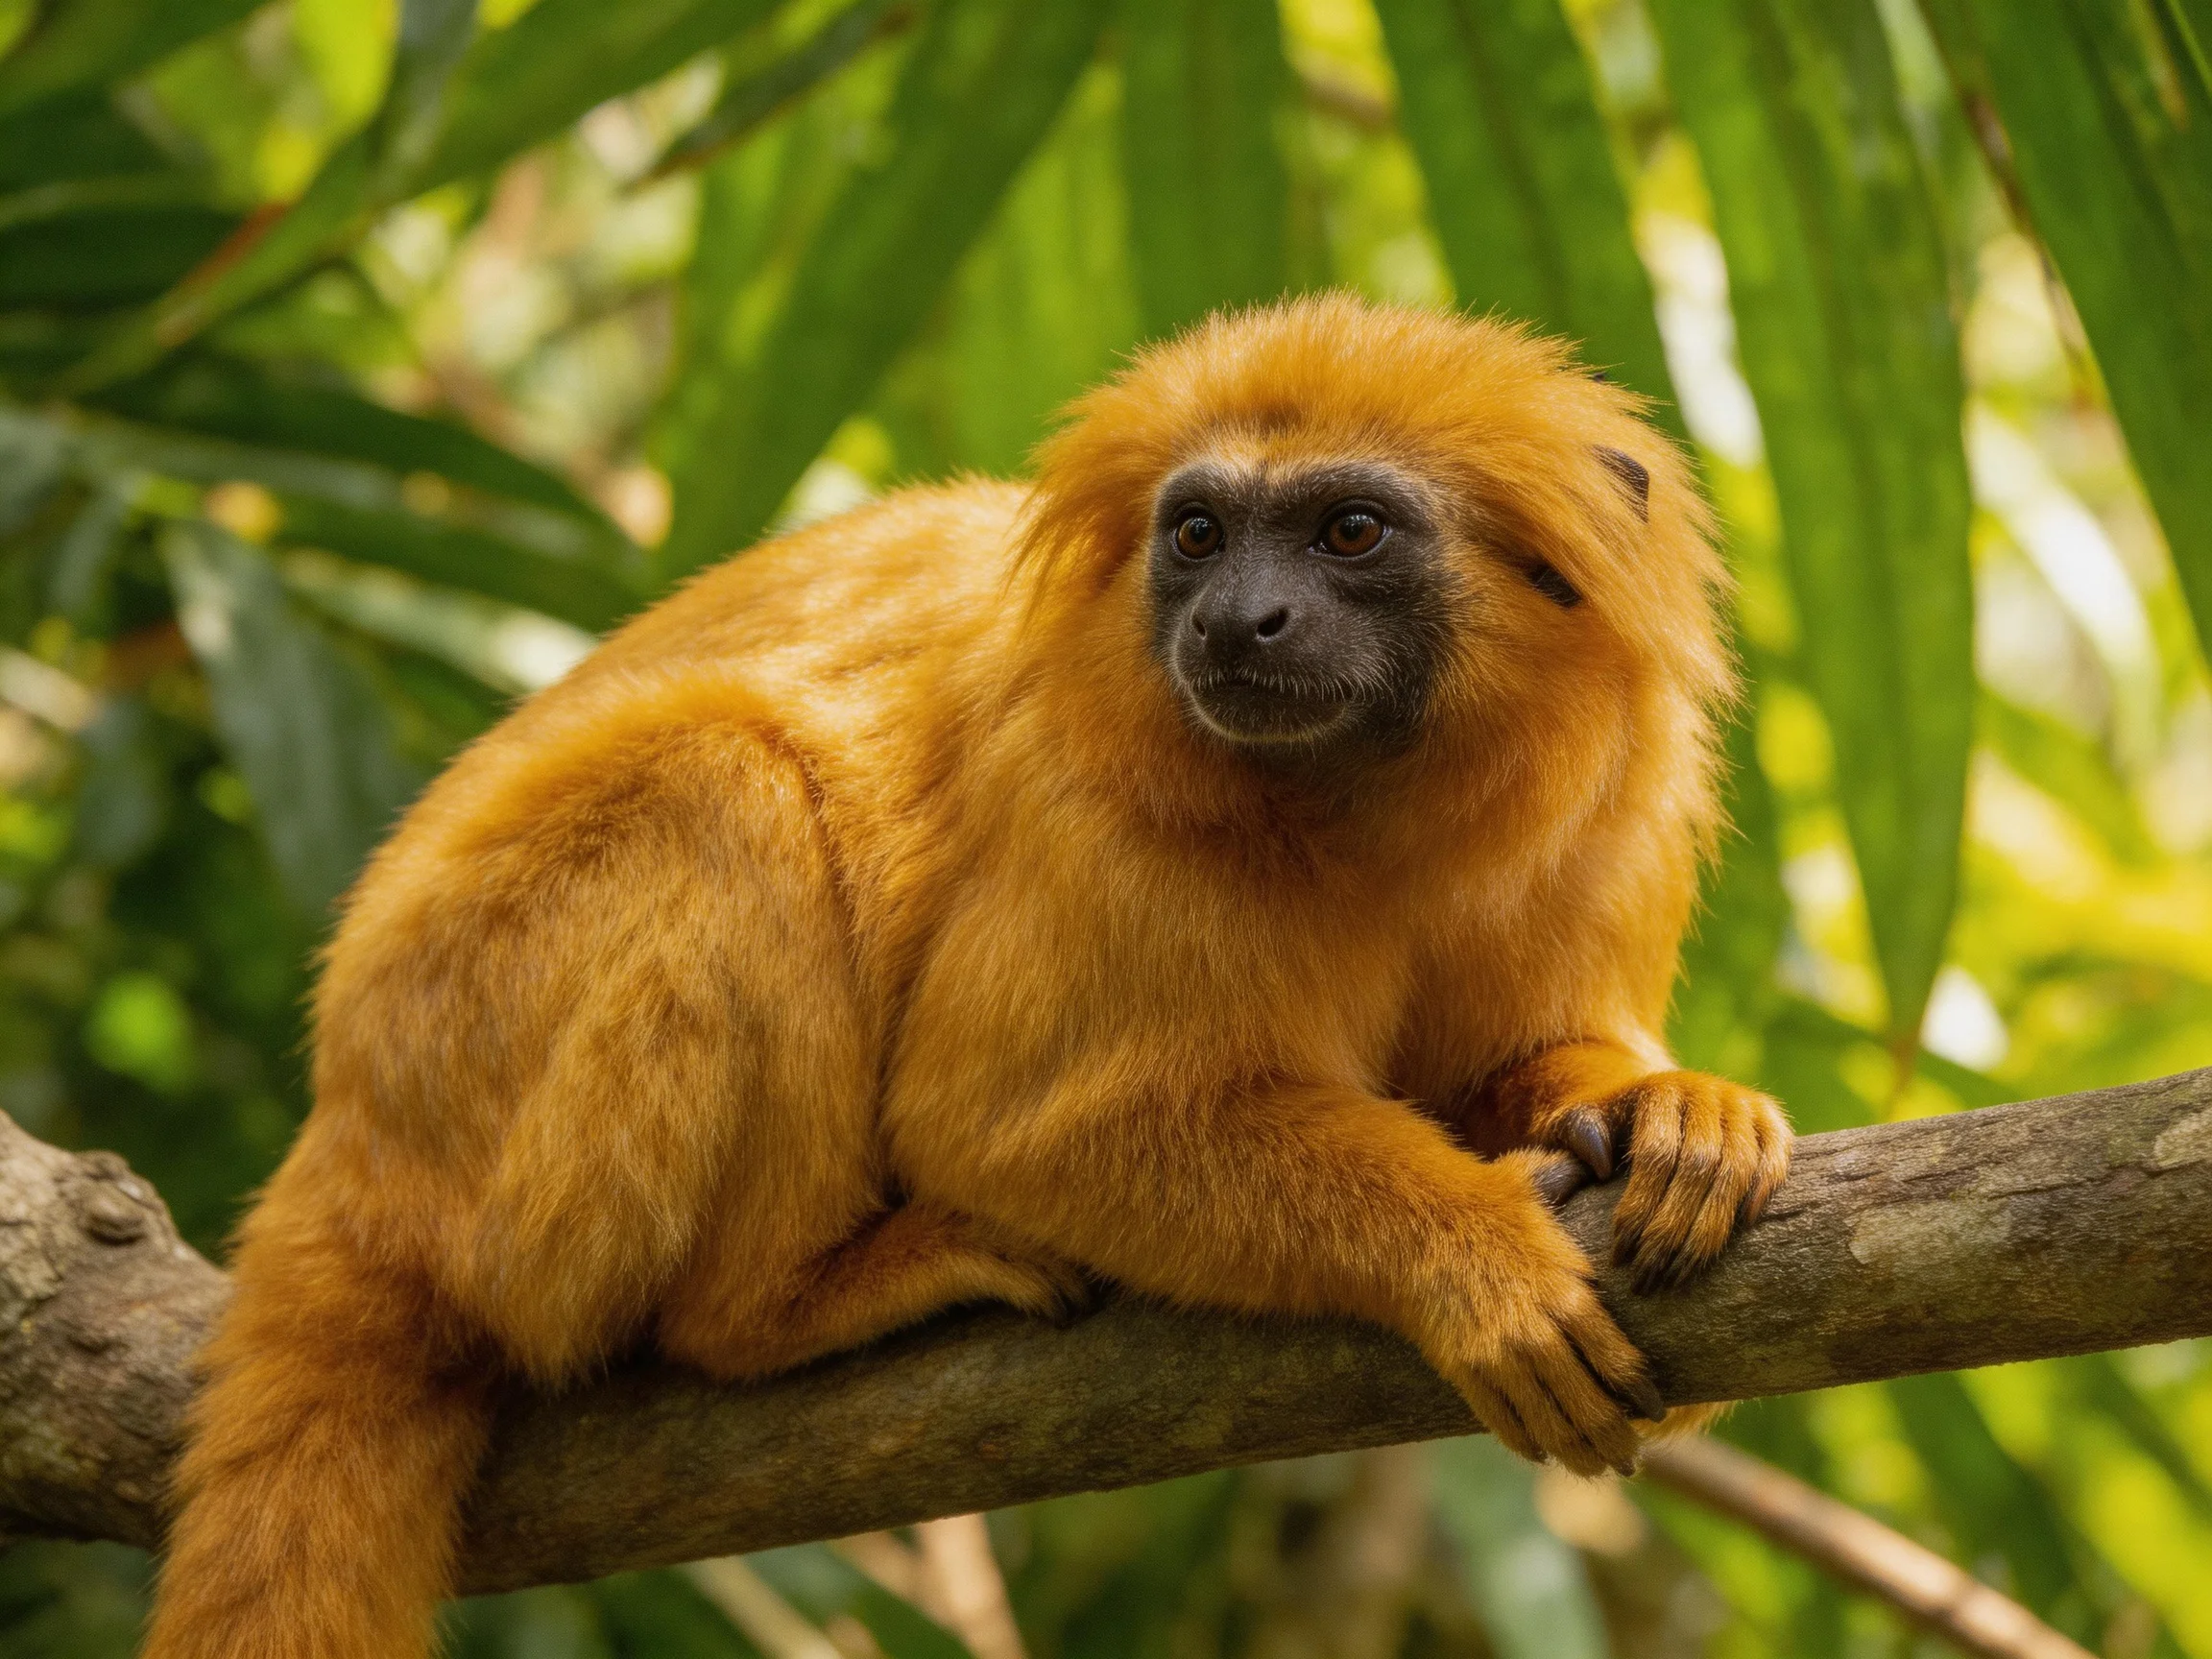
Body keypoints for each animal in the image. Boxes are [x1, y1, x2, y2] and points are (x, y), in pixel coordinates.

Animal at [142, 294, 1789, 1659]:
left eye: (1346, 535)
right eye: (1201, 536)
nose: (1235, 621)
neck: (1369, 801)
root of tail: (347, 1132)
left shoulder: (1607, 815)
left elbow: (1534, 1055)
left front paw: (1663, 1114)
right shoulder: (1105, 818)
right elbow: (1013, 1125)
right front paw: (1474, 1260)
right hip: (474, 1090)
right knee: (724, 784)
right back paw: (784, 1303)